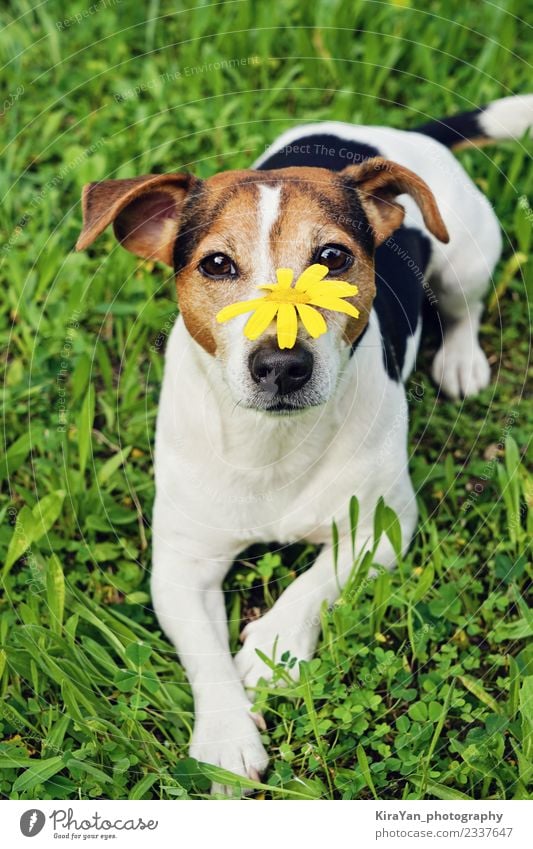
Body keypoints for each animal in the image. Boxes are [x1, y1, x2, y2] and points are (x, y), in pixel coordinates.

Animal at [76, 93, 532, 788]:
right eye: (217, 264)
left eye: (334, 258)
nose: (283, 364)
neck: (272, 442)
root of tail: (394, 135)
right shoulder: (181, 566)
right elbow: (203, 652)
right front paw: (226, 735)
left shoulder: (382, 526)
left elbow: (313, 585)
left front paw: (271, 649)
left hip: (467, 258)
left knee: (465, 309)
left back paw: (460, 359)